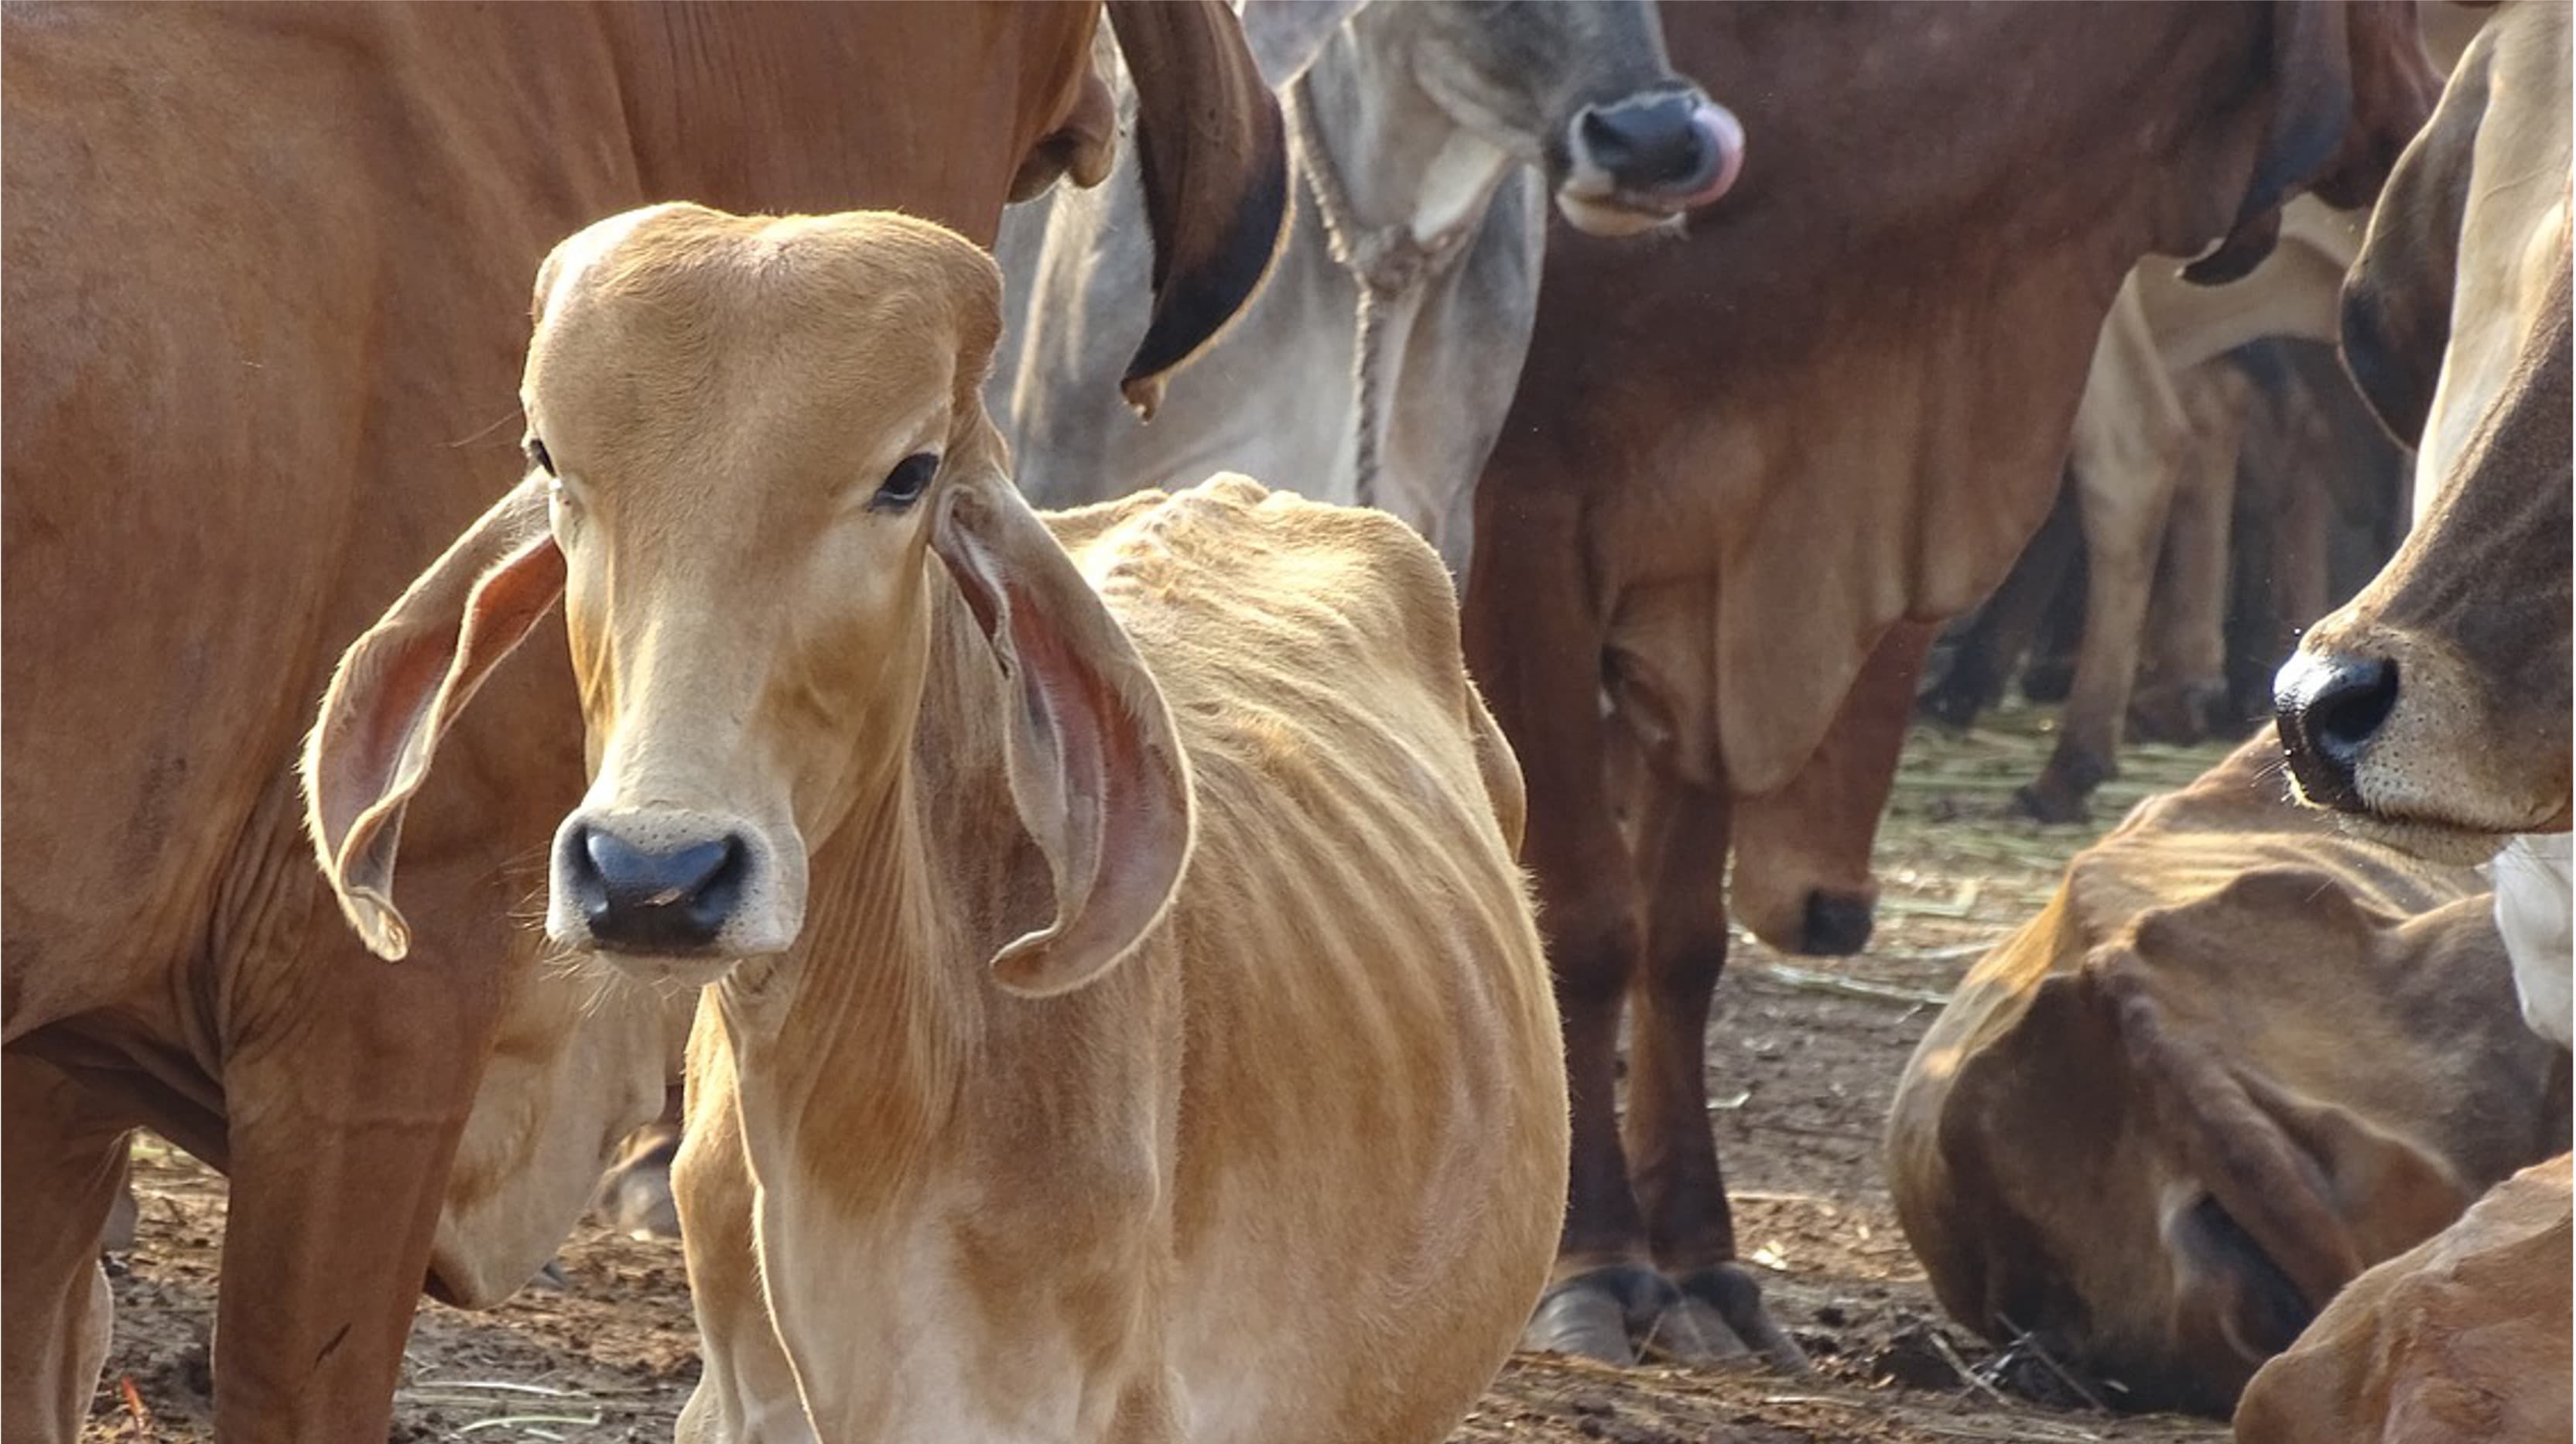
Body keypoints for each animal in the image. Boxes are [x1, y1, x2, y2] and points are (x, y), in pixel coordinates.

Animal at [1464, 1, 2440, 1368]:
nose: (2428, 120)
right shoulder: (1530, 534)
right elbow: (1591, 924)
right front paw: (1600, 1257)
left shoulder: (1718, 599)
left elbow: (1681, 941)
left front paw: (1703, 1261)